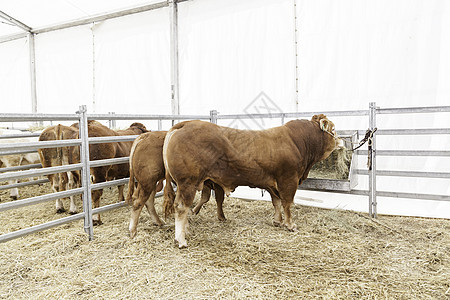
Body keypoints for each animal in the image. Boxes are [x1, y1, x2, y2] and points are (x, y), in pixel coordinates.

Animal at [163, 113, 342, 247]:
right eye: (333, 129)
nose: (341, 141)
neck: (298, 142)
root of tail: (184, 124)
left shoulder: (272, 182)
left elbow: (276, 202)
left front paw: (277, 221)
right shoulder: (289, 179)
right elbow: (287, 203)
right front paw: (290, 225)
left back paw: (186, 230)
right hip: (188, 182)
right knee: (181, 207)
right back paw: (181, 240)